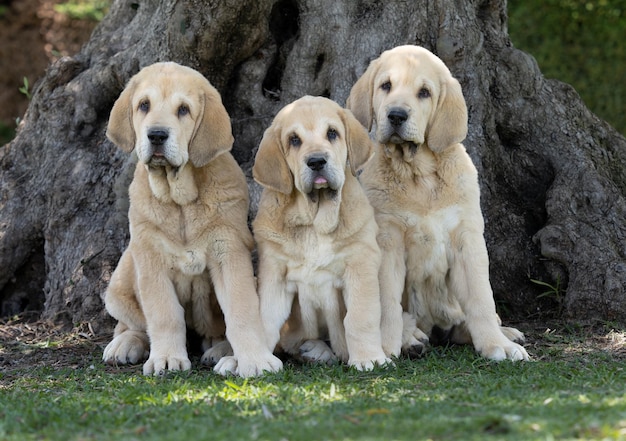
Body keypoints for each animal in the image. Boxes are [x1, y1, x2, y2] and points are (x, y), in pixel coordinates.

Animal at [101, 62, 282, 376]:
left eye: (183, 109)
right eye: (144, 105)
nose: (156, 135)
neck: (180, 201)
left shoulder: (228, 250)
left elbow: (242, 311)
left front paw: (255, 359)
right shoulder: (150, 255)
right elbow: (163, 314)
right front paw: (166, 357)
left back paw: (221, 350)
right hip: (121, 278)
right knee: (131, 324)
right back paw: (125, 344)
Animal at [250, 95, 388, 368]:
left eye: (332, 133)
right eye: (294, 139)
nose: (316, 162)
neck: (314, 221)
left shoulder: (361, 264)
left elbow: (360, 317)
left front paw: (369, 357)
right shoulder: (274, 273)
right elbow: (265, 319)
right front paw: (252, 359)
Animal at [346, 44, 528, 360]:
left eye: (424, 93)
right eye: (386, 86)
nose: (396, 116)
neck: (419, 175)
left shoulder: (467, 238)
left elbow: (481, 298)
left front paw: (497, 345)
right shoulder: (388, 239)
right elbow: (387, 302)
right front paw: (386, 347)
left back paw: (504, 332)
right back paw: (412, 339)